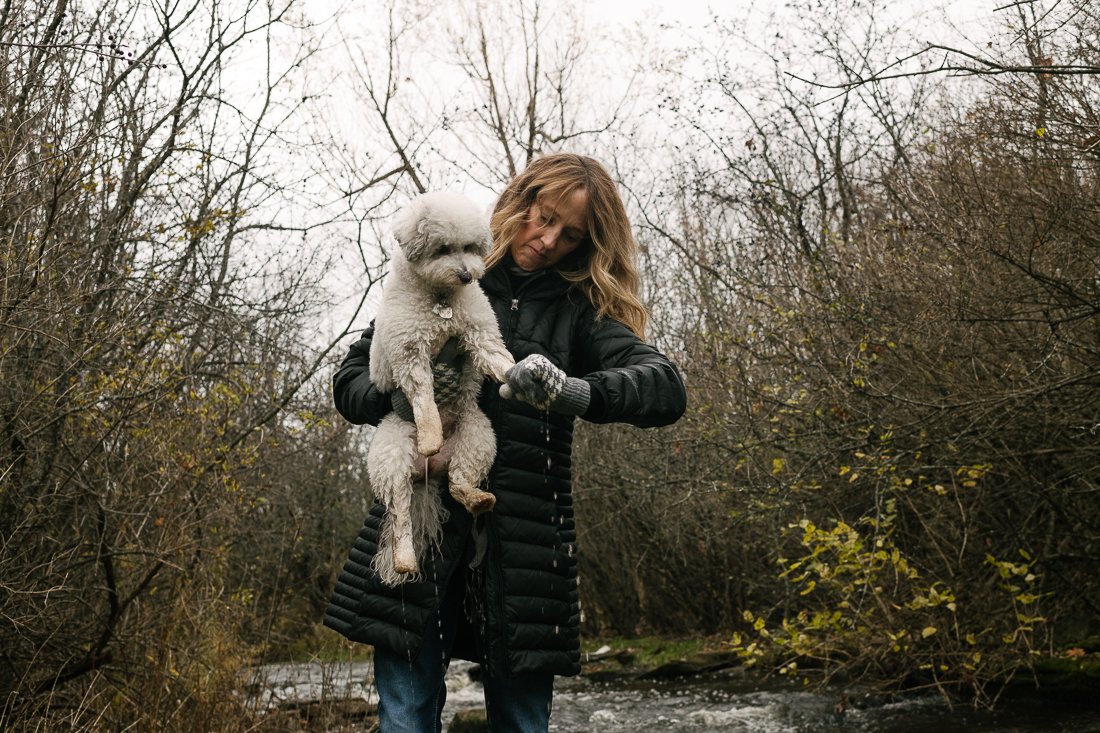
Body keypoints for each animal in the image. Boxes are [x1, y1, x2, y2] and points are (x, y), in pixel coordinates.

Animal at [365, 191, 510, 585]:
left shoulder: (479, 332)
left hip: (478, 438)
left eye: (470, 247)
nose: (467, 274)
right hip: (392, 458)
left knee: (460, 484)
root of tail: (428, 473)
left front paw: (527, 375)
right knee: (400, 518)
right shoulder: (410, 353)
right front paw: (431, 434)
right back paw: (404, 560)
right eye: (442, 248)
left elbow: (498, 358)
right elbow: (424, 399)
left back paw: (479, 499)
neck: (440, 298)